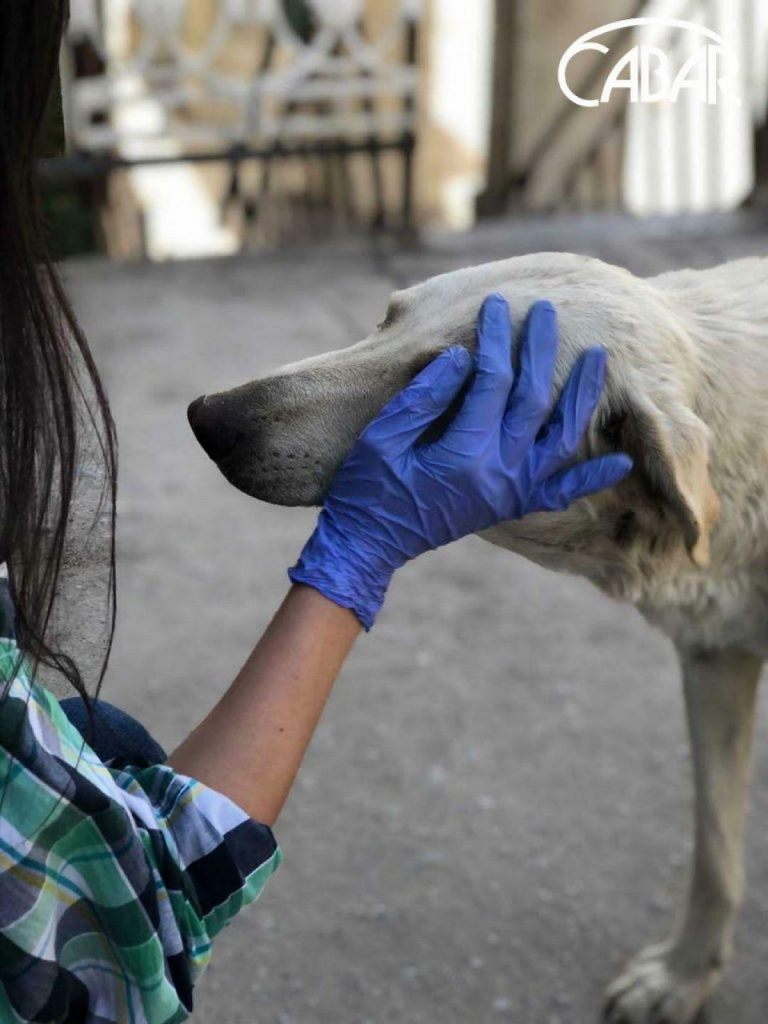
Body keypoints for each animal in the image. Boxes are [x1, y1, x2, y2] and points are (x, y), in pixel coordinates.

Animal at [186, 249, 768, 1024]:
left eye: (452, 383)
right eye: (387, 319)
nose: (208, 418)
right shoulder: (713, 659)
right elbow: (715, 848)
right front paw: (684, 974)